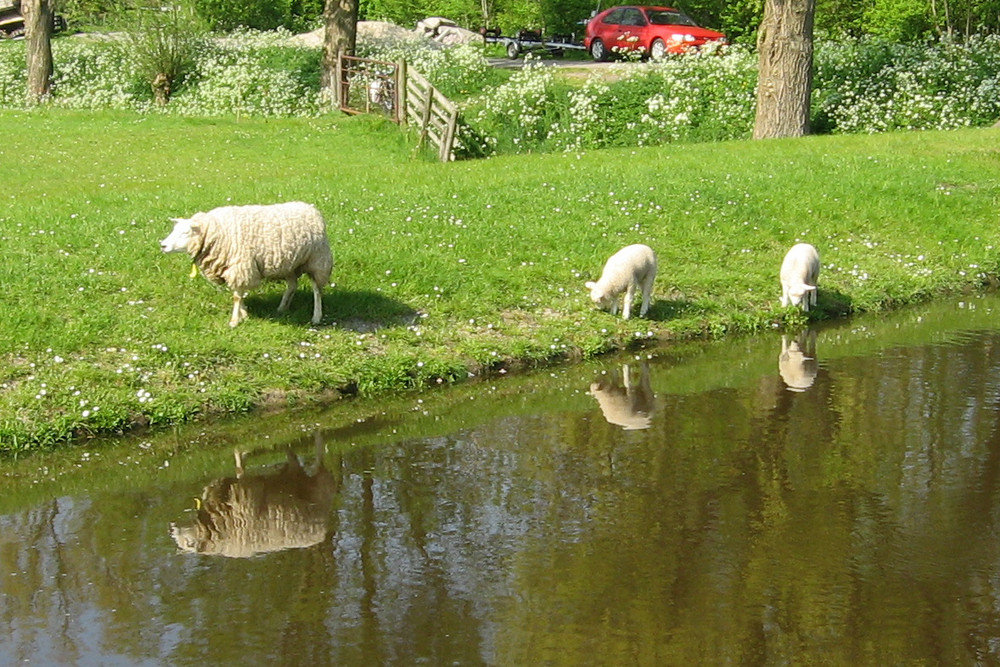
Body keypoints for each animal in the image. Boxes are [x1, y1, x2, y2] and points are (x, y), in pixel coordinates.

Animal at [160, 204, 332, 328]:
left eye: (185, 232)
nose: (162, 245)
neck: (216, 232)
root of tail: (311, 208)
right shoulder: (235, 268)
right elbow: (239, 294)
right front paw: (244, 314)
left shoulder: (241, 266)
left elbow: (236, 296)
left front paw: (234, 321)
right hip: (289, 263)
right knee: (292, 285)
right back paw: (282, 308)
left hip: (317, 261)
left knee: (317, 290)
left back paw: (316, 316)